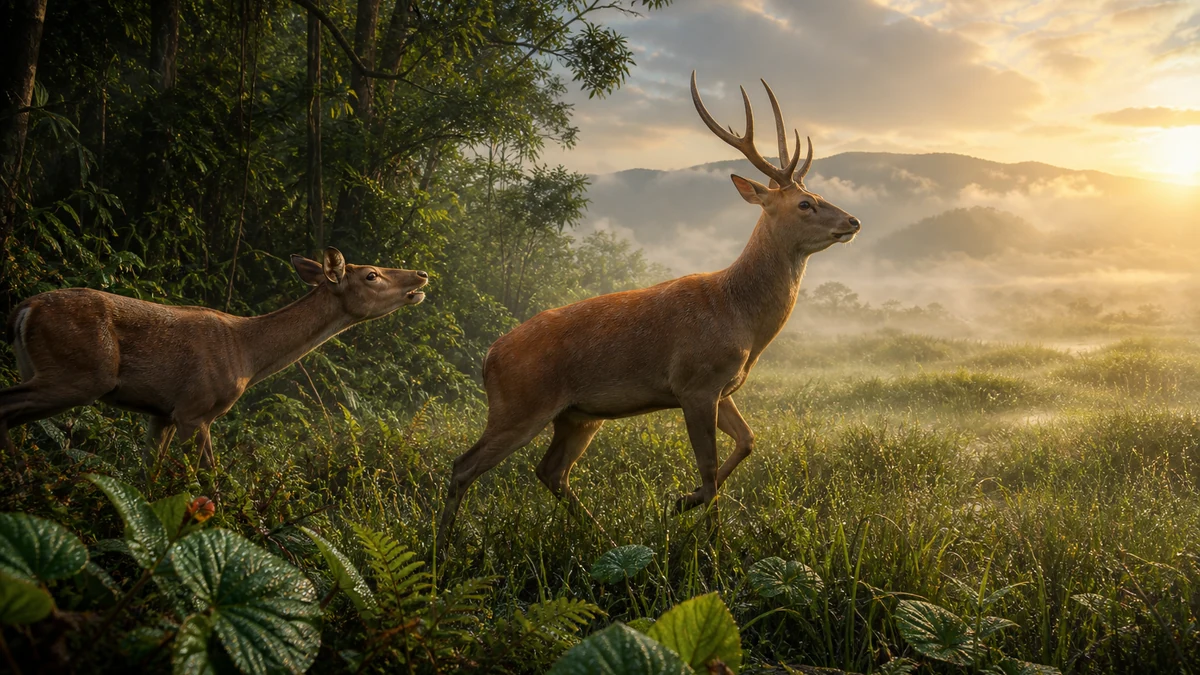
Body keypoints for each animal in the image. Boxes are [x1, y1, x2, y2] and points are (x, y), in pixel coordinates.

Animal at [1, 247, 428, 471]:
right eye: (371, 274)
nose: (421, 276)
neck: (248, 355)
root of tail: (23, 309)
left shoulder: (162, 412)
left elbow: (148, 475)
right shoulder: (195, 409)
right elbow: (209, 482)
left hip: (41, 368)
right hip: (81, 373)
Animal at [435, 72, 862, 549]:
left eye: (818, 194)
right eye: (805, 204)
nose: (853, 222)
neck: (740, 317)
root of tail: (489, 356)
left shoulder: (722, 387)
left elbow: (749, 441)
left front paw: (681, 502)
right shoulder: (694, 382)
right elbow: (708, 466)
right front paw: (710, 540)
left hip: (577, 415)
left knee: (551, 471)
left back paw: (603, 537)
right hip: (519, 404)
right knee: (464, 465)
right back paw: (441, 548)